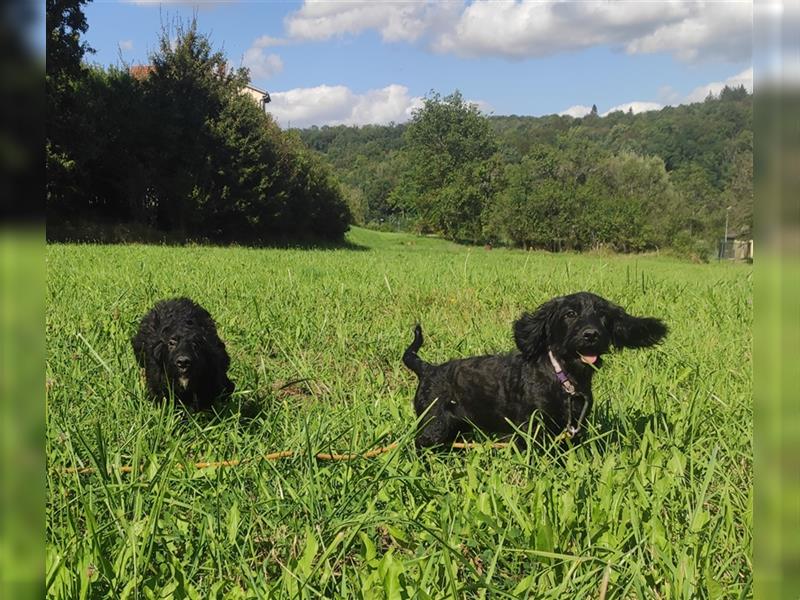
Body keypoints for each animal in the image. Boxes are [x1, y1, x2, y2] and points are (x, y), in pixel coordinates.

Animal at [404, 292, 664, 448]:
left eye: (603, 315)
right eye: (570, 314)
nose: (591, 335)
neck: (564, 377)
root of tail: (427, 369)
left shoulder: (573, 427)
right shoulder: (532, 428)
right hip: (433, 426)